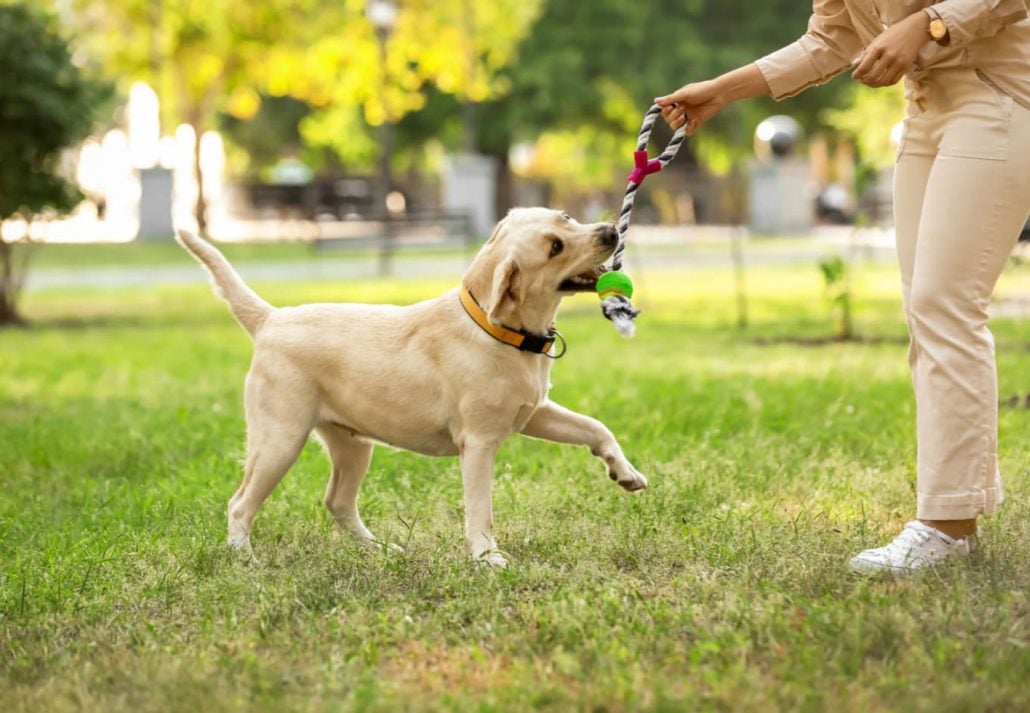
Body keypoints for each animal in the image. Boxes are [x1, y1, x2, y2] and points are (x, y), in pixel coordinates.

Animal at [176, 207, 642, 568]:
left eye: (566, 218)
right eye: (554, 248)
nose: (611, 231)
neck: (497, 329)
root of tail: (271, 318)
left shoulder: (535, 412)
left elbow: (595, 427)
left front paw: (625, 472)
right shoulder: (478, 443)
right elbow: (481, 508)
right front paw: (486, 557)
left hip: (352, 445)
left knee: (337, 502)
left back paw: (380, 550)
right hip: (280, 439)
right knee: (240, 503)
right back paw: (243, 557)